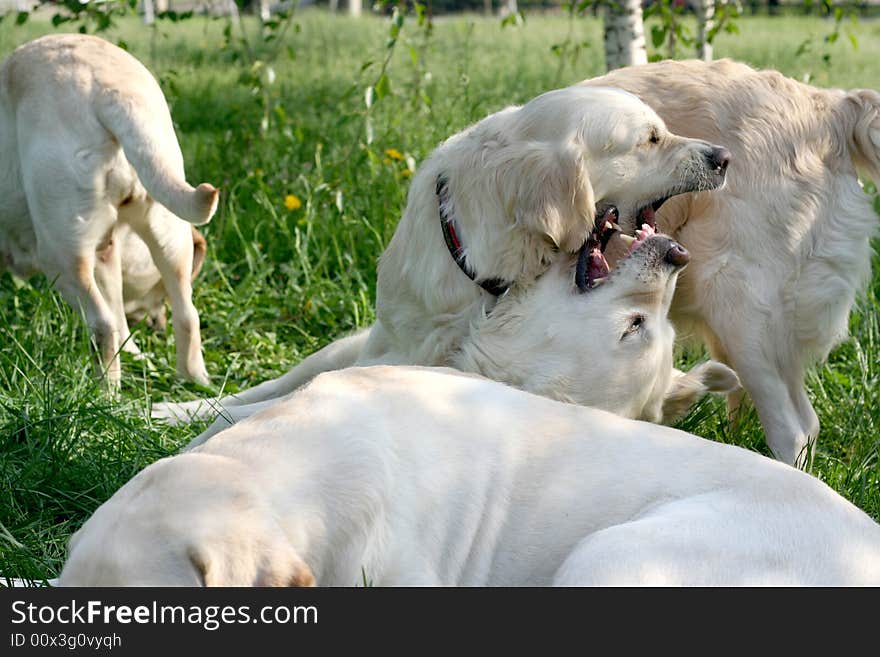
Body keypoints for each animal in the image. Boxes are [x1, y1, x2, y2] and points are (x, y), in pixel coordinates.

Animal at [0, 34, 218, 384]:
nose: (156, 324)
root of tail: (110, 90)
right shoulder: (106, 255)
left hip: (60, 254)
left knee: (103, 324)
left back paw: (106, 392)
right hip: (169, 232)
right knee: (186, 313)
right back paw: (194, 380)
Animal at [153, 83, 728, 430]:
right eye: (650, 139)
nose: (723, 156)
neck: (491, 288)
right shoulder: (383, 346)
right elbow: (262, 393)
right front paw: (171, 411)